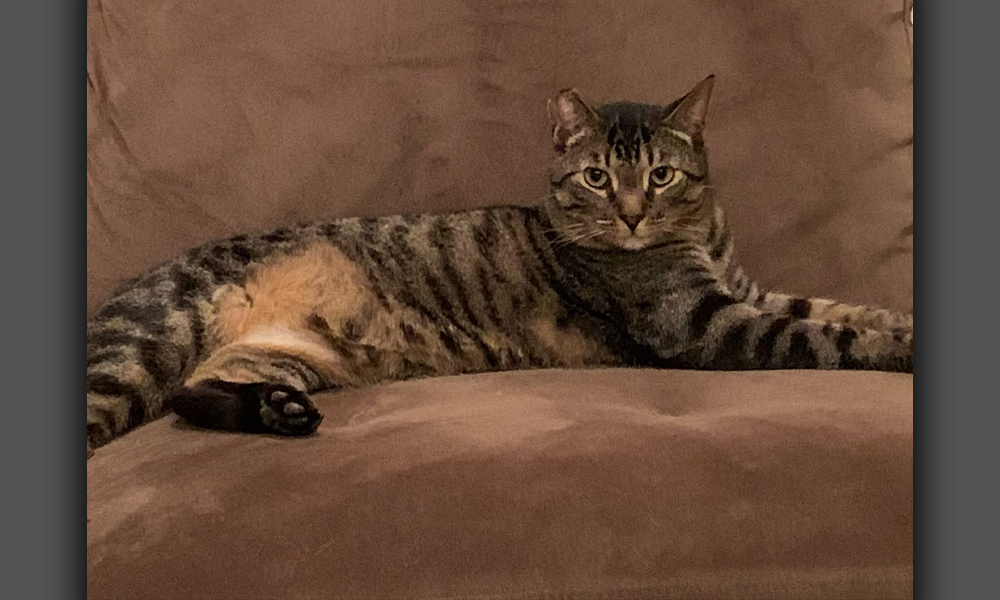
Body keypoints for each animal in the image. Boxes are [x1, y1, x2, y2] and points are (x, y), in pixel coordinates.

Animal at [88, 76, 916, 460]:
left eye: (660, 175)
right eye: (596, 177)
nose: (630, 213)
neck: (699, 236)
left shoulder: (747, 292)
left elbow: (832, 307)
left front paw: (898, 316)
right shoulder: (706, 323)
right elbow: (825, 336)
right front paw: (900, 346)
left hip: (285, 356)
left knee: (195, 392)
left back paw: (276, 413)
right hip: (146, 342)